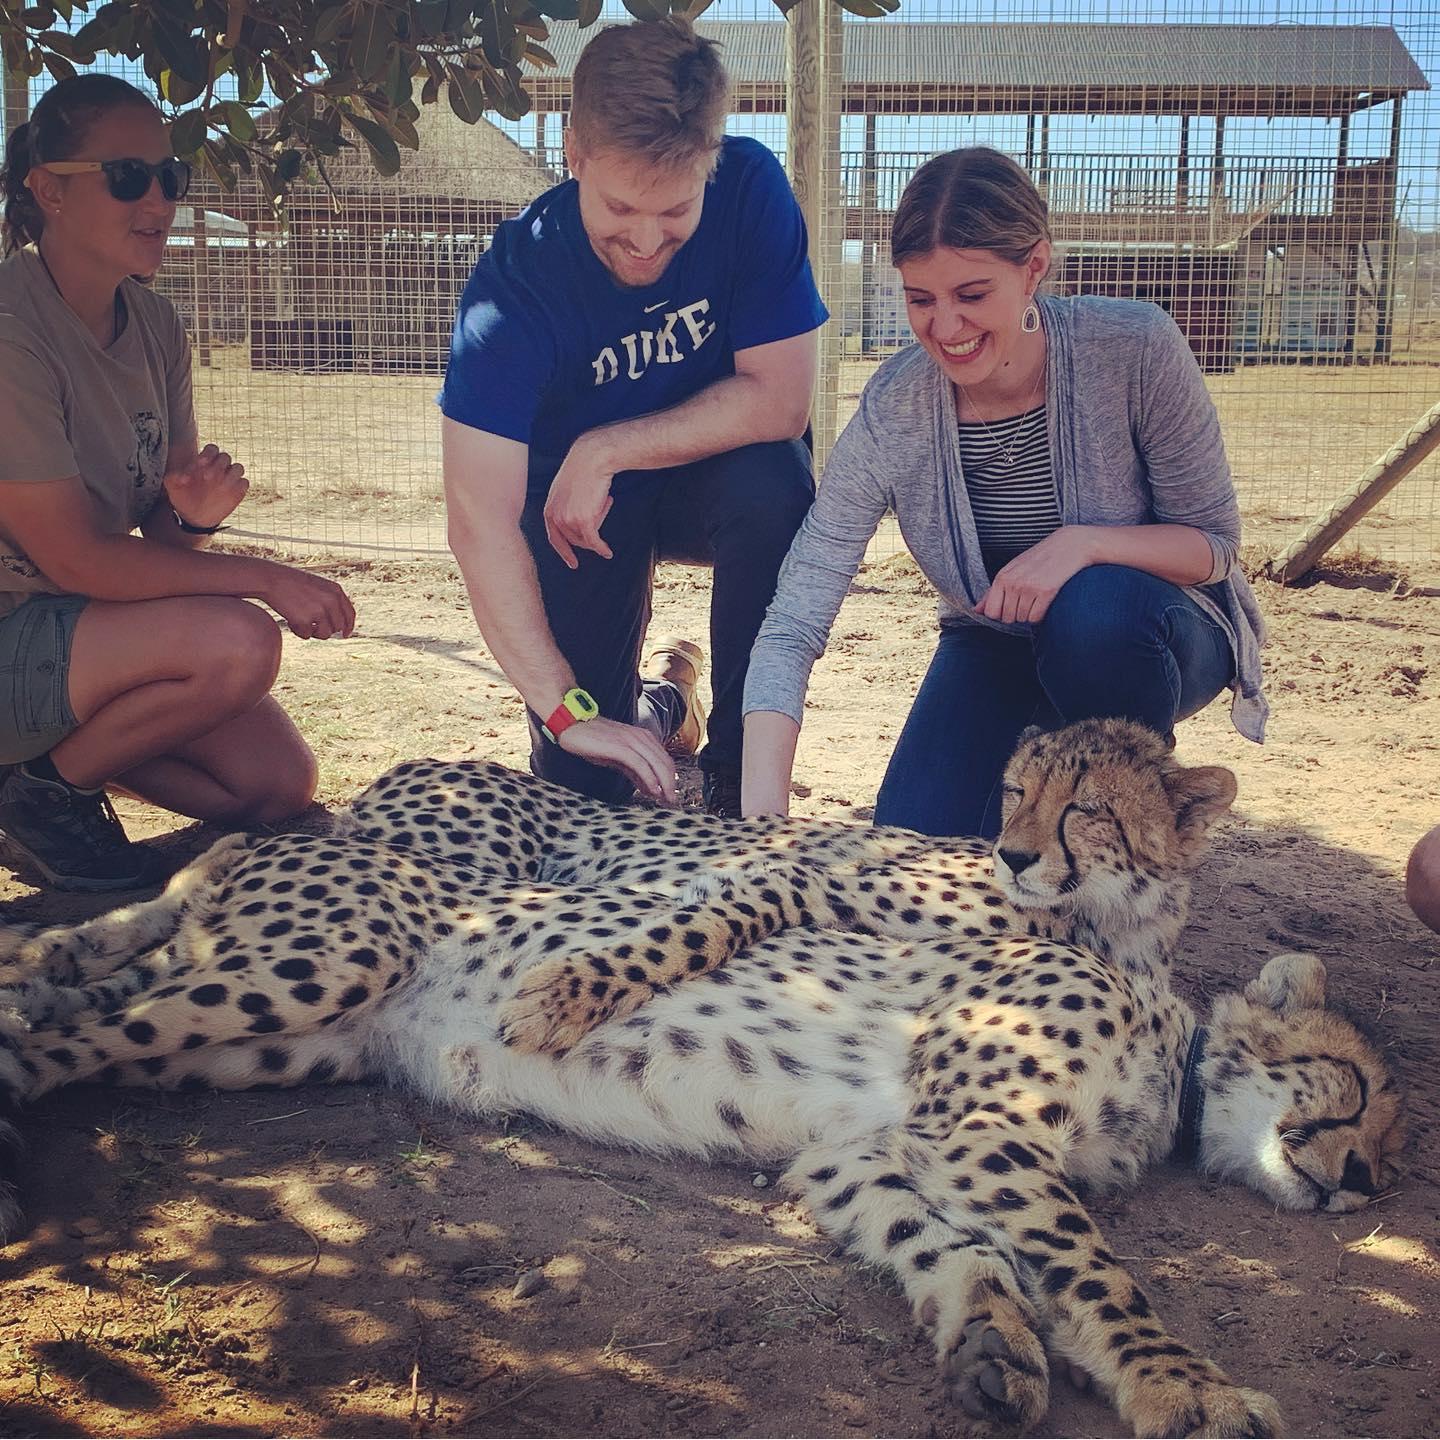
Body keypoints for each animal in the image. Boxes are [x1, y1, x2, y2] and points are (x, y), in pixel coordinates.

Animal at [0, 720, 1406, 1438]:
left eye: (1389, 1139)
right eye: (1352, 1095)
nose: (1366, 1181)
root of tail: (326, 829)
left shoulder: (870, 1151)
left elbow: (950, 1247)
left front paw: (989, 1343)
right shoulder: (979, 1121)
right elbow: (1095, 1272)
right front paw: (1185, 1389)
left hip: (270, 1035)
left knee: (97, 1008)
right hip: (325, 958)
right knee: (54, 1041)